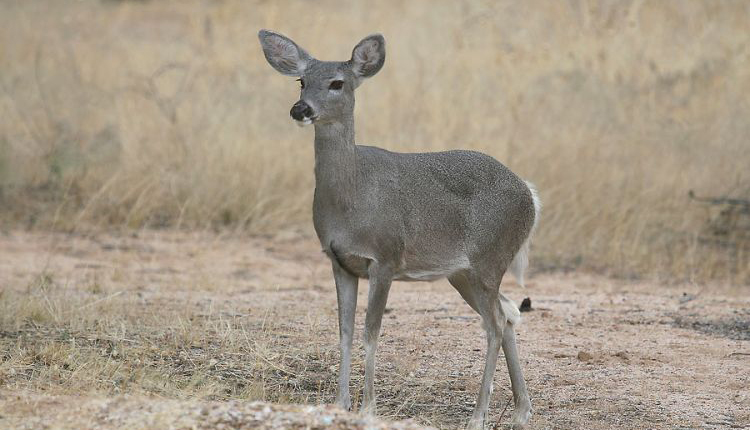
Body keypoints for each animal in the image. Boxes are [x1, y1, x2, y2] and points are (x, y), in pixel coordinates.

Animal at [258, 28, 540, 428]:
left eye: (337, 83)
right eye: (301, 81)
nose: (301, 109)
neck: (353, 196)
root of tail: (530, 194)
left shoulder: (385, 257)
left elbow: (371, 332)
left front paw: (368, 406)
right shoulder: (339, 260)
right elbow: (344, 332)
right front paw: (340, 403)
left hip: (490, 258)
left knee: (496, 323)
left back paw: (478, 415)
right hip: (463, 273)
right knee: (510, 313)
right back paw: (520, 410)